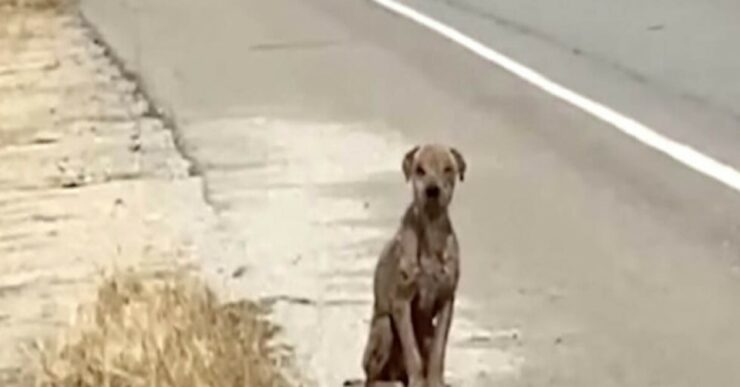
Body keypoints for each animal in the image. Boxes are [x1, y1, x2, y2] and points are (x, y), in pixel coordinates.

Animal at [360, 145, 468, 387]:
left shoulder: (447, 301)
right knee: (372, 378)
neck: (431, 233)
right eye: (420, 169)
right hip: (384, 327)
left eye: (448, 169)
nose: (432, 190)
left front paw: (435, 381)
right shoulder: (402, 302)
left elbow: (438, 351)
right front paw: (418, 381)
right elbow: (412, 352)